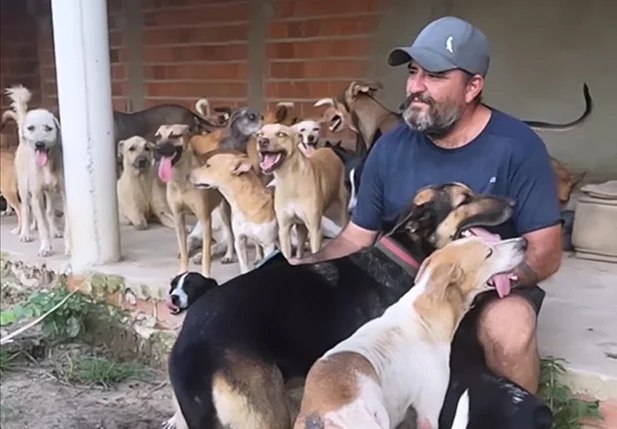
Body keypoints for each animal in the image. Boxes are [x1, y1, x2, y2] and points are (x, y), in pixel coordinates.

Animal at [6, 85, 69, 256]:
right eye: (31, 128)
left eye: (48, 128)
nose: (39, 144)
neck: (47, 165)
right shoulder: (36, 195)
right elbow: (42, 225)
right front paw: (45, 247)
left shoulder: (64, 193)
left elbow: (67, 223)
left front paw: (69, 247)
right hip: (23, 187)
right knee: (25, 209)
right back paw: (25, 233)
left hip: (50, 193)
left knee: (50, 211)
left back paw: (55, 230)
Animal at [255, 122, 352, 260]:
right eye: (259, 134)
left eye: (281, 134)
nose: (262, 141)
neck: (289, 180)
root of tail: (330, 149)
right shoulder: (284, 230)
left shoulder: (315, 231)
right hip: (301, 227)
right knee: (300, 248)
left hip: (343, 205)